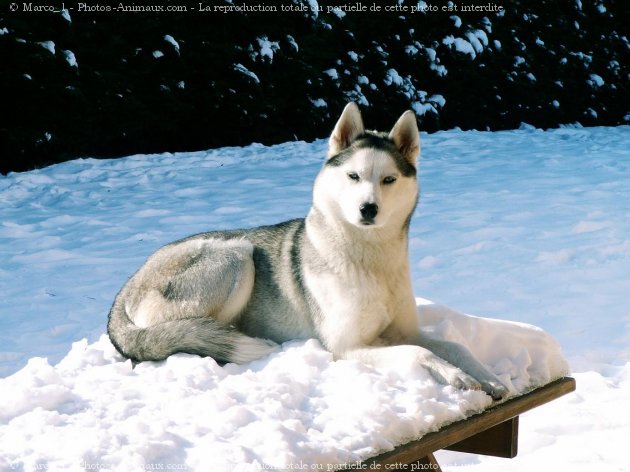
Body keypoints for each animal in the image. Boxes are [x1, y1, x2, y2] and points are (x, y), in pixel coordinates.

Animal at [110, 102, 508, 398]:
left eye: (389, 180)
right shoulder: (348, 347)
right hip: (237, 255)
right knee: (187, 332)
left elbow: (456, 347)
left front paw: (488, 376)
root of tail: (123, 293)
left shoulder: (404, 331)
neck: (370, 261)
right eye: (353, 177)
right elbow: (421, 353)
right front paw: (455, 376)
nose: (368, 209)